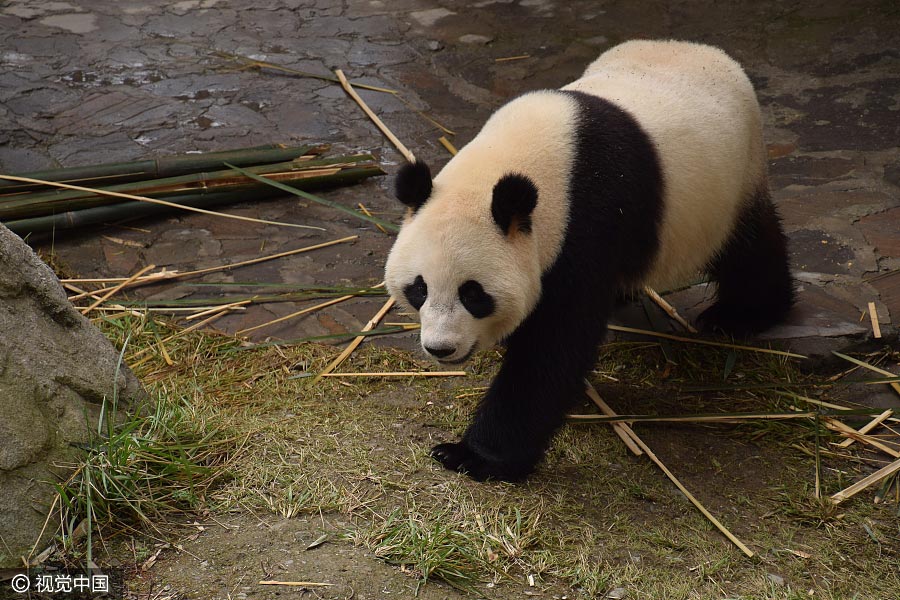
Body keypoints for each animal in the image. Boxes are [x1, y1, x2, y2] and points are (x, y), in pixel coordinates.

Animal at [384, 38, 792, 482]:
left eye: (473, 294)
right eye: (419, 289)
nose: (441, 349)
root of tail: (707, 51)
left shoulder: (586, 223)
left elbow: (554, 347)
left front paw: (475, 456)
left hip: (730, 185)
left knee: (748, 250)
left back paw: (741, 315)